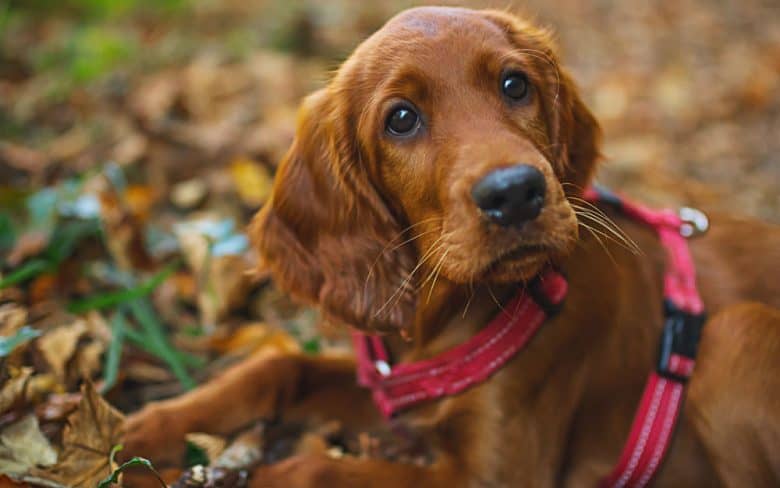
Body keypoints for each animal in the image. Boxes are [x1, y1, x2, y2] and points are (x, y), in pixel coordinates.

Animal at [122, 7, 780, 488]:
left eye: (515, 84)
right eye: (401, 118)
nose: (515, 193)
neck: (443, 317)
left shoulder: (492, 475)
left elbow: (318, 470)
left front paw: (267, 470)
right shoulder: (399, 392)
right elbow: (279, 366)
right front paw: (146, 429)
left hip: (734, 335)